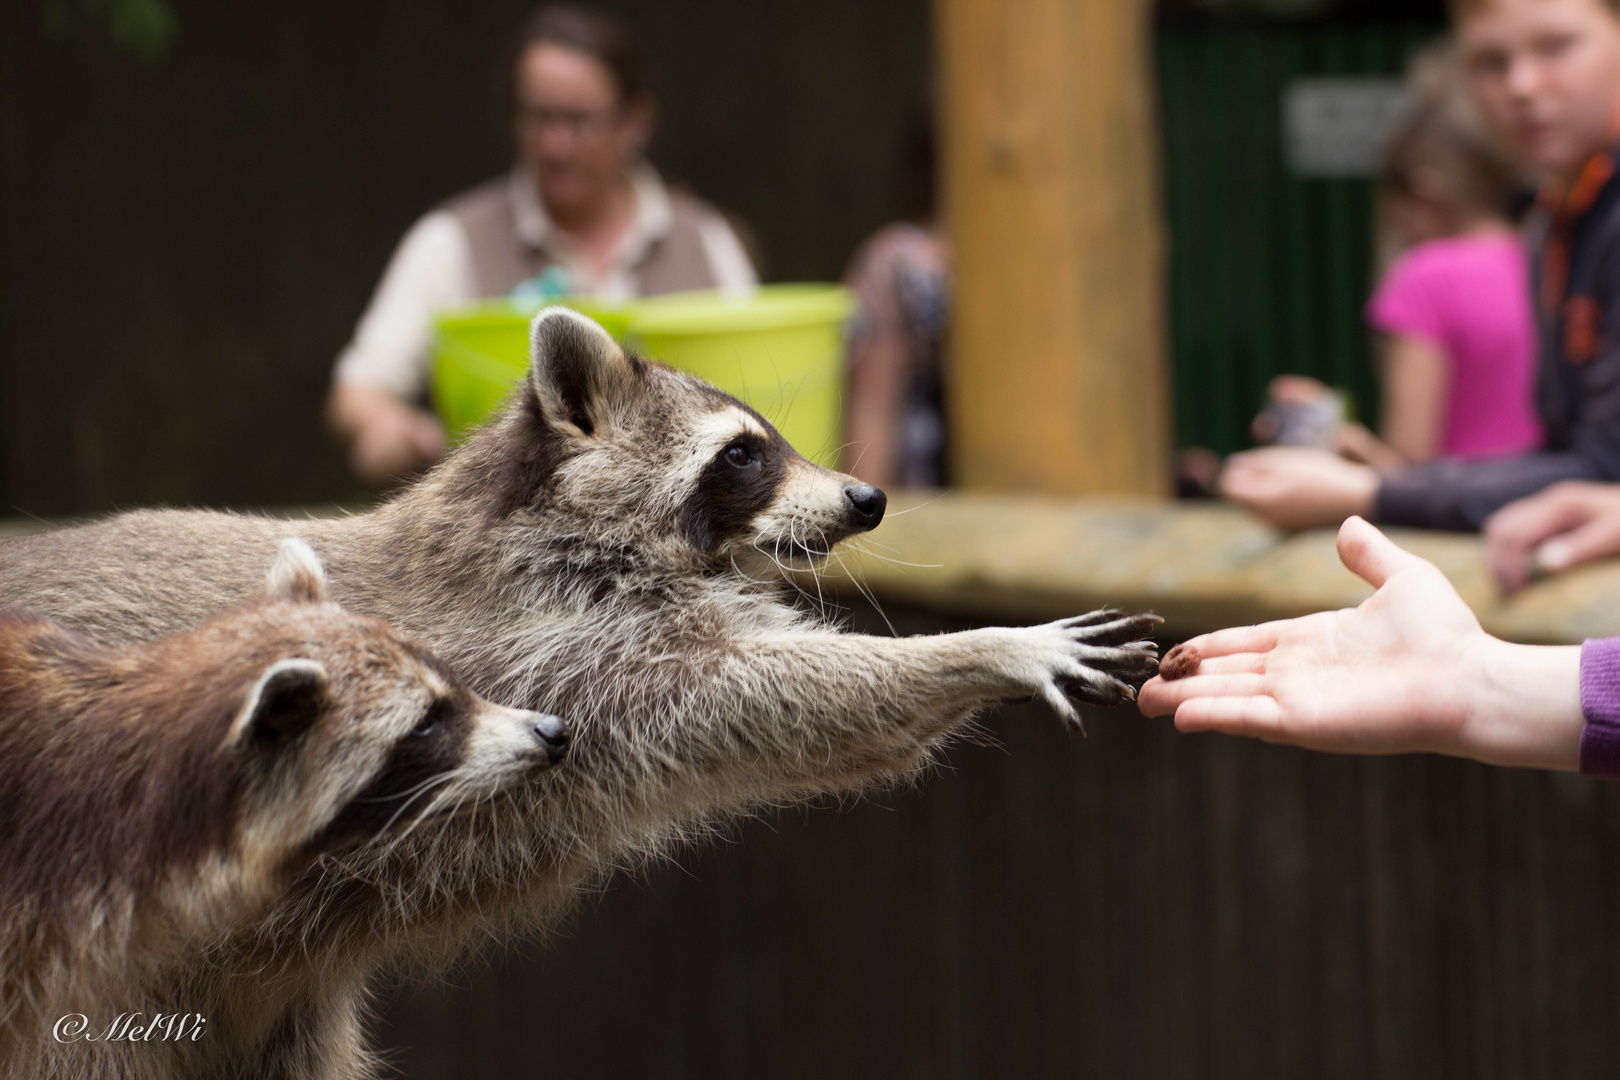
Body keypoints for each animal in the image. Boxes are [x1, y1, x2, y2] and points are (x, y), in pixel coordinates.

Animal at [0, 306, 1166, 997]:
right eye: (742, 456)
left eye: (771, 441)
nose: (868, 499)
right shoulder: (558, 645)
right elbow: (765, 695)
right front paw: (980, 649)